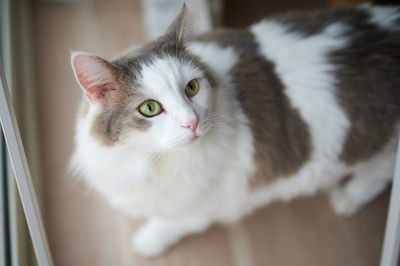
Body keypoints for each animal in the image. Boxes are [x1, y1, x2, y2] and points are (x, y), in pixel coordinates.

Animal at [70, 3, 398, 258]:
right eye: (149, 108)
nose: (192, 121)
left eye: (192, 87)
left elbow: (170, 222)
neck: (151, 159)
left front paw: (147, 241)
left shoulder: (207, 204)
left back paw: (348, 198)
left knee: (380, 172)